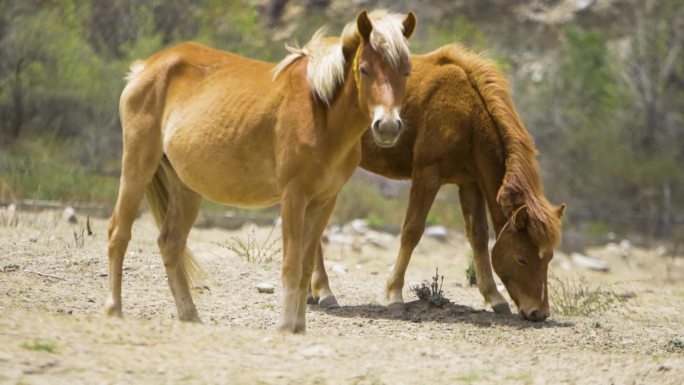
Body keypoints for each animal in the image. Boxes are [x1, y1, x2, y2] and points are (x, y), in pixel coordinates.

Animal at [107, 9, 416, 332]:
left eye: (406, 71)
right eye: (365, 69)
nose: (388, 126)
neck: (320, 111)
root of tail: (144, 68)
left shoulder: (324, 201)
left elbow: (306, 265)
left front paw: (299, 327)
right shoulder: (293, 196)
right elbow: (291, 264)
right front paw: (285, 326)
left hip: (186, 188)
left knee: (170, 242)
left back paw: (189, 315)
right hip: (137, 168)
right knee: (119, 233)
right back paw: (114, 309)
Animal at [312, 42, 568, 320]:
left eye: (549, 257)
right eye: (522, 258)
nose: (539, 312)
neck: (468, 113)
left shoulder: (469, 183)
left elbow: (478, 237)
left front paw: (494, 297)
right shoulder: (427, 175)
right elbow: (411, 231)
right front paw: (394, 294)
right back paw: (324, 291)